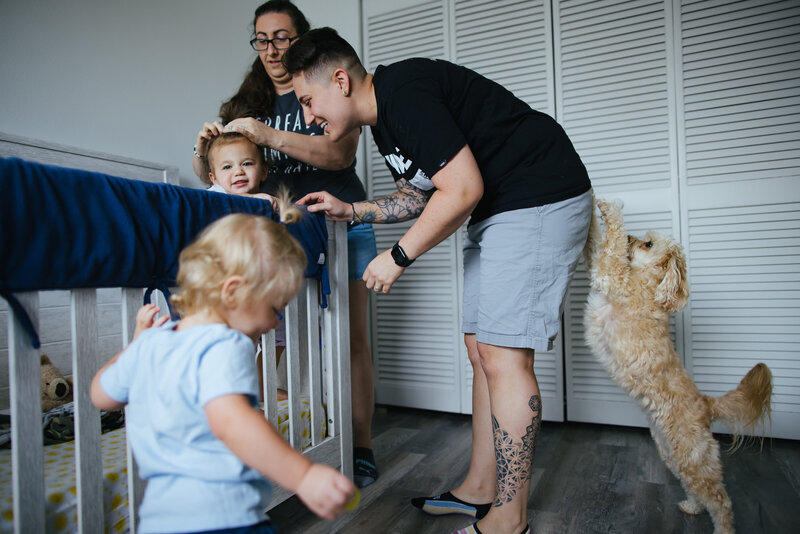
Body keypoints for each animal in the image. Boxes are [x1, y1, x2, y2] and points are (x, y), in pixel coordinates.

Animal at [584, 198, 772, 534]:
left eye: (648, 243)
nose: (632, 237)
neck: (650, 284)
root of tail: (706, 404)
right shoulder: (603, 267)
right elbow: (597, 241)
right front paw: (594, 206)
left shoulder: (614, 275)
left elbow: (611, 246)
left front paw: (609, 208)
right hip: (673, 454)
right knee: (696, 489)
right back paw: (692, 506)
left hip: (695, 457)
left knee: (721, 501)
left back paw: (723, 528)